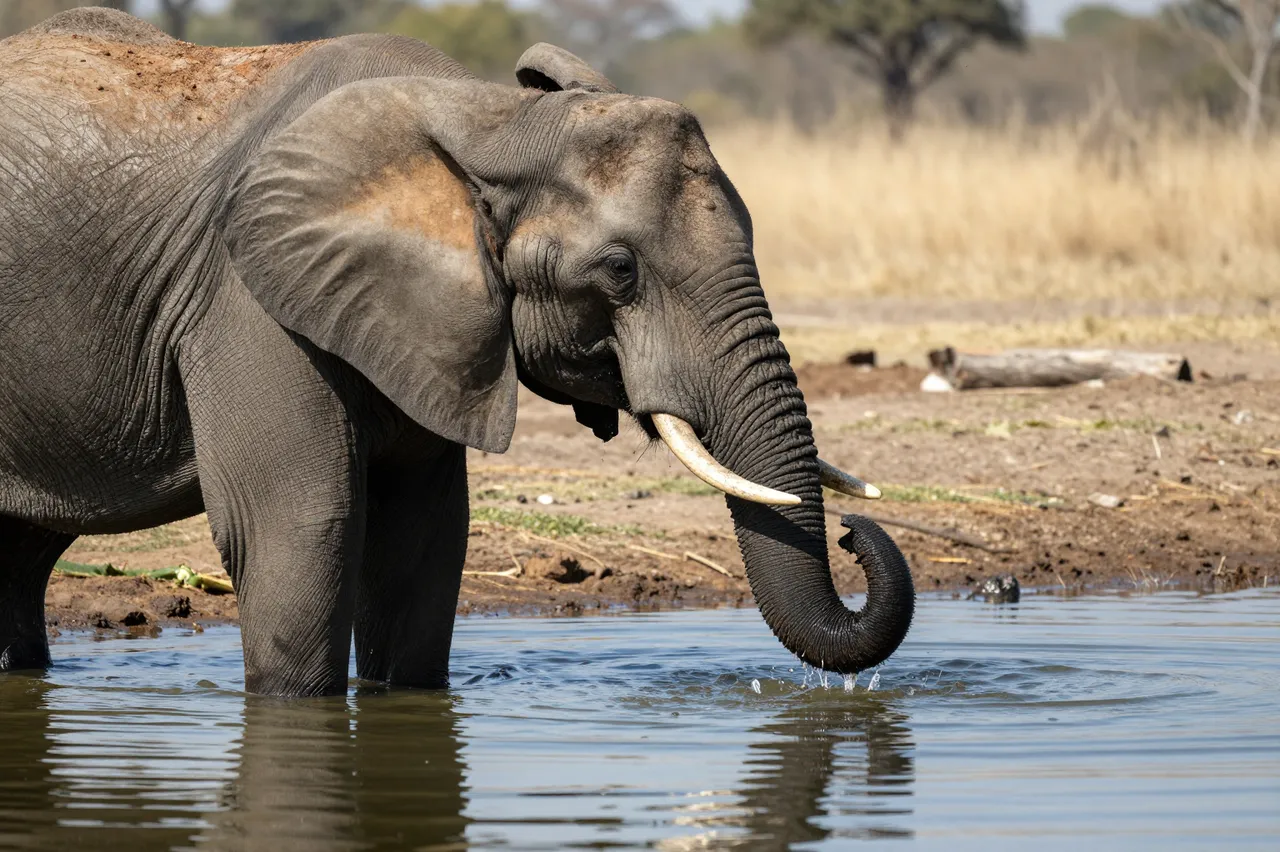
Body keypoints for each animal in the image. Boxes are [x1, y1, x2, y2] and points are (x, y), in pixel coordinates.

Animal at [0, 7, 915, 696]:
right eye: (620, 271)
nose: (853, 535)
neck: (489, 121)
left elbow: (424, 536)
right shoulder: (246, 299)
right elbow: (303, 524)